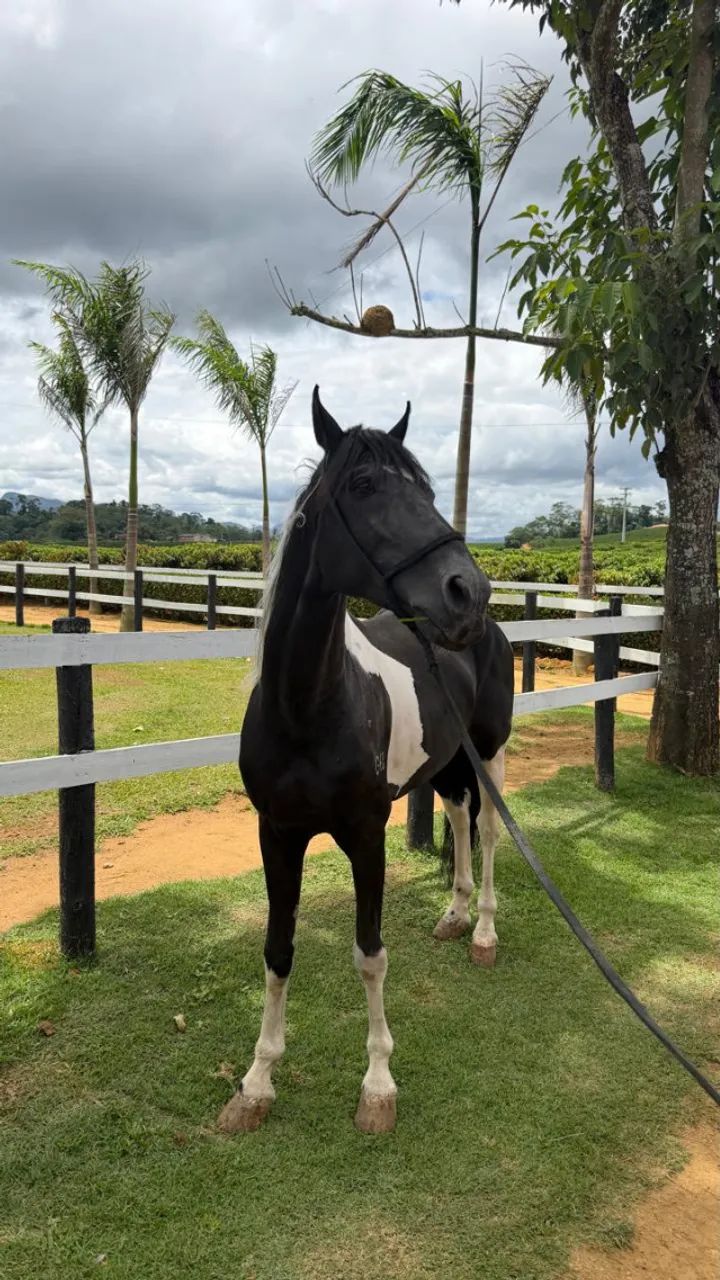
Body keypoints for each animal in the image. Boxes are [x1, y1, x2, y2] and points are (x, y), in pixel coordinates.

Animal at [219, 387, 514, 1136]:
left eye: (428, 490)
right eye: (363, 486)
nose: (468, 592)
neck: (308, 707)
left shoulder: (365, 836)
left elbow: (370, 954)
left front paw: (378, 1084)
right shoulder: (277, 834)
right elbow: (278, 950)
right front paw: (257, 1082)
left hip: (489, 752)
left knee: (488, 832)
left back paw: (484, 931)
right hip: (449, 765)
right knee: (460, 820)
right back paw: (454, 914)